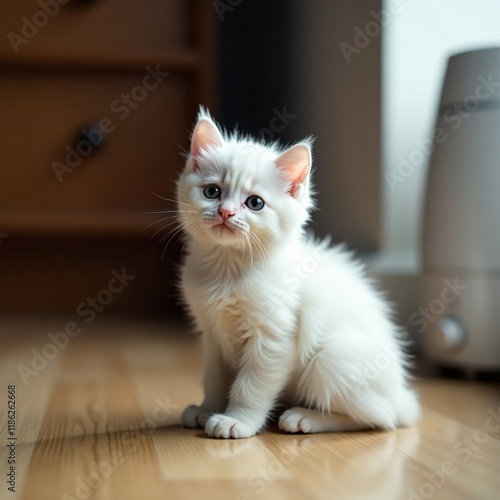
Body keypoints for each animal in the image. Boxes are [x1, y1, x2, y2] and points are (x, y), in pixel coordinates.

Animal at [178, 108, 420, 438]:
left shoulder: (274, 338)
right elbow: (215, 378)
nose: (226, 212)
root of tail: (401, 395)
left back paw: (305, 418)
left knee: (380, 417)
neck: (228, 268)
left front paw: (237, 420)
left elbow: (251, 386)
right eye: (212, 191)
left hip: (330, 358)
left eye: (255, 203)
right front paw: (207, 409)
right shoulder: (212, 336)